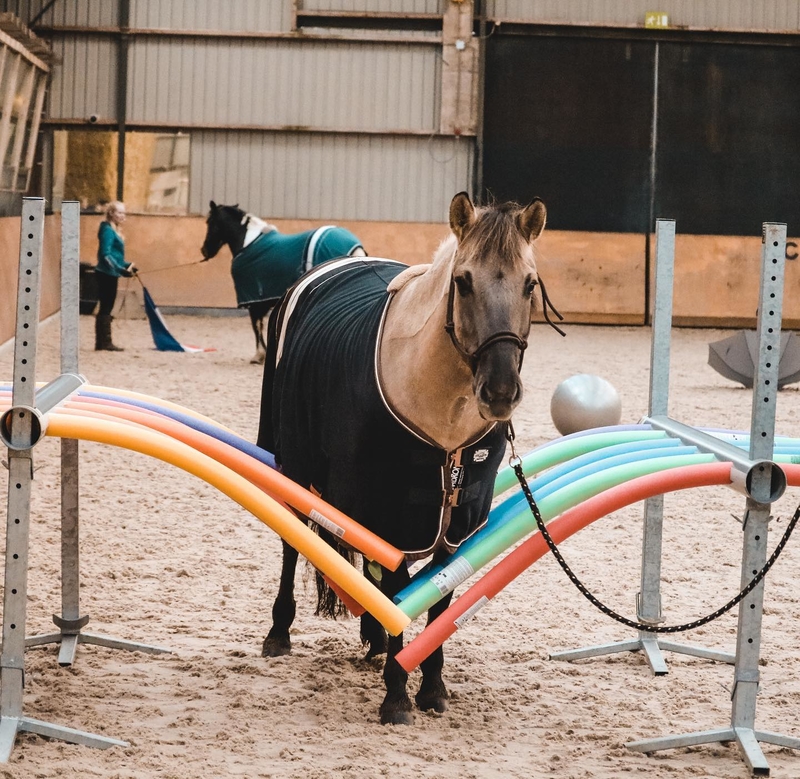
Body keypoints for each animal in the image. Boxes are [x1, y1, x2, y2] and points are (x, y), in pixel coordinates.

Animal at [200, 200, 366, 362]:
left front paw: (259, 355)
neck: (248, 243)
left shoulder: (253, 299)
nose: (204, 250)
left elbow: (256, 325)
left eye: (210, 222)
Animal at [256, 192, 564, 728]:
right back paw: (280, 633)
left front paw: (433, 687)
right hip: (296, 461)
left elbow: (436, 597)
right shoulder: (394, 513)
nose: (500, 391)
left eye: (529, 284)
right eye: (463, 281)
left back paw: (373, 638)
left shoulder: (453, 520)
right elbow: (399, 587)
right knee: (293, 541)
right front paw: (397, 696)